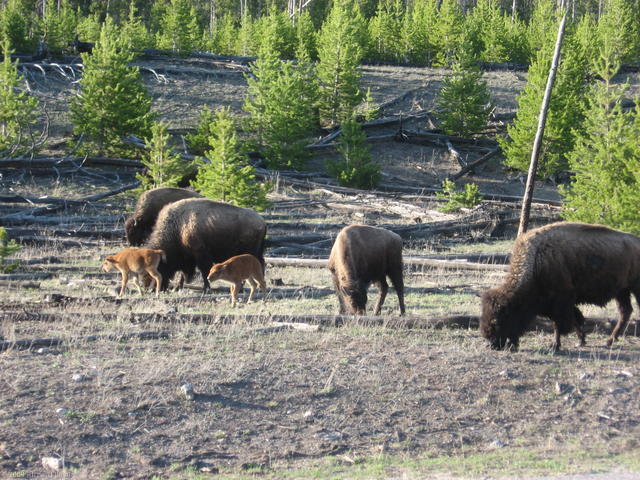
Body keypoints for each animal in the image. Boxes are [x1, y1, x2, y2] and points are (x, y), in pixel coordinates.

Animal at [480, 221, 640, 351]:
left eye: (498, 320)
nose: (491, 345)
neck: (536, 260)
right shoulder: (561, 303)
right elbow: (575, 319)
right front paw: (581, 341)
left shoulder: (560, 302)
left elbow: (559, 323)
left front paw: (554, 345)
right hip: (622, 291)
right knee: (625, 311)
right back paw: (610, 341)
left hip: (633, 288)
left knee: (627, 311)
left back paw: (610, 340)